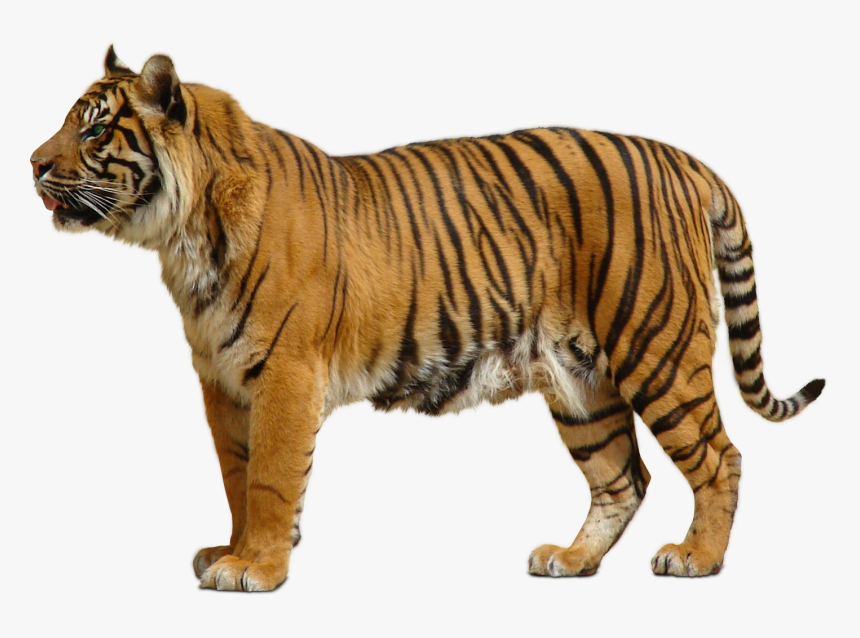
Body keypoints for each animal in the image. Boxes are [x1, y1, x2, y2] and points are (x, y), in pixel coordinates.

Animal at [31, 47, 824, 592]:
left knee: (720, 457)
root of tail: (687, 160)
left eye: (94, 131)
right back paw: (570, 559)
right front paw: (234, 549)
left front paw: (254, 566)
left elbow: (272, 476)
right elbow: (237, 474)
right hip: (579, 382)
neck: (182, 236)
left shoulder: (286, 372)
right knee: (621, 476)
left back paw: (697, 557)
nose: (33, 163)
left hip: (656, 347)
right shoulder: (222, 381)